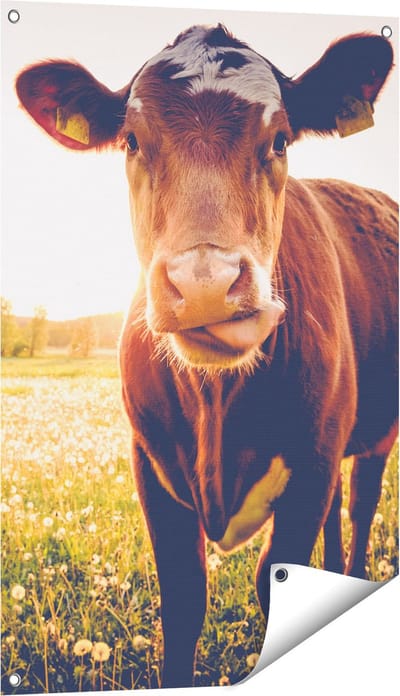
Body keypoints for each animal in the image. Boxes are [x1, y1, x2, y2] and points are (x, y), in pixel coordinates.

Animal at [16, 24, 398, 687]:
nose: (204, 285)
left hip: (371, 435)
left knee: (358, 508)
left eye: (279, 139)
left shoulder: (312, 464)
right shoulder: (151, 465)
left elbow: (275, 581)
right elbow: (184, 598)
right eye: (132, 141)